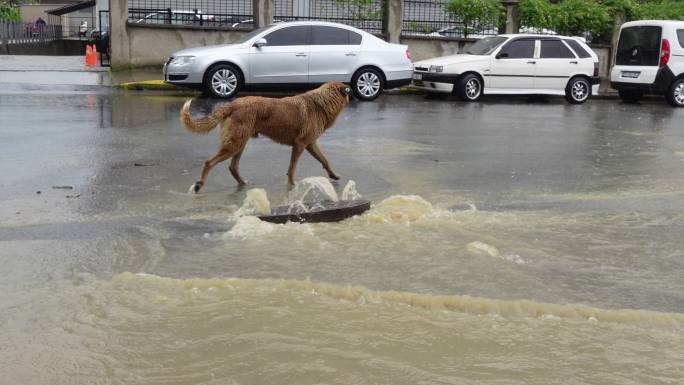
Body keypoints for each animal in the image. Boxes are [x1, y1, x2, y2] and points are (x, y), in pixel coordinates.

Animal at [180, 81, 352, 192]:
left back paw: (242, 183)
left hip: (240, 144)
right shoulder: (300, 144)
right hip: (234, 144)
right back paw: (199, 184)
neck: (321, 103)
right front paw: (292, 184)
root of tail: (232, 104)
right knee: (209, 162)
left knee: (233, 167)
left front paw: (334, 175)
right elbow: (292, 168)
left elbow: (325, 161)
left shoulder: (310, 144)